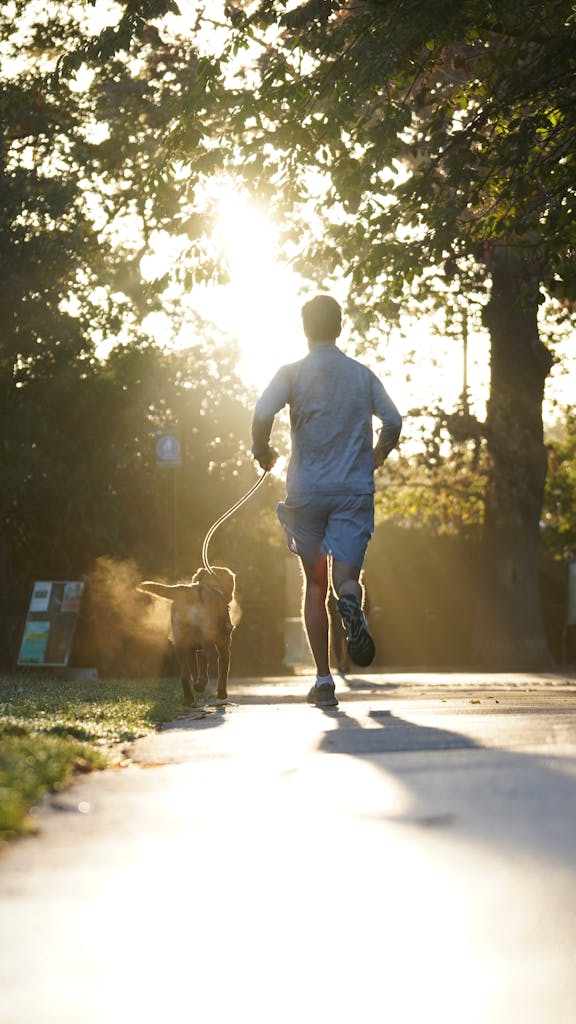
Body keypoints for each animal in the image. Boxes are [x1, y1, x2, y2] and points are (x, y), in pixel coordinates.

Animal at [137, 569, 235, 704]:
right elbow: (223, 671)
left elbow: (195, 669)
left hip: (181, 642)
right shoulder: (224, 645)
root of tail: (192, 591)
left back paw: (190, 696)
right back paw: (201, 685)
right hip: (207, 636)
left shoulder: (193, 649)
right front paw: (222, 694)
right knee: (209, 655)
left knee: (184, 673)